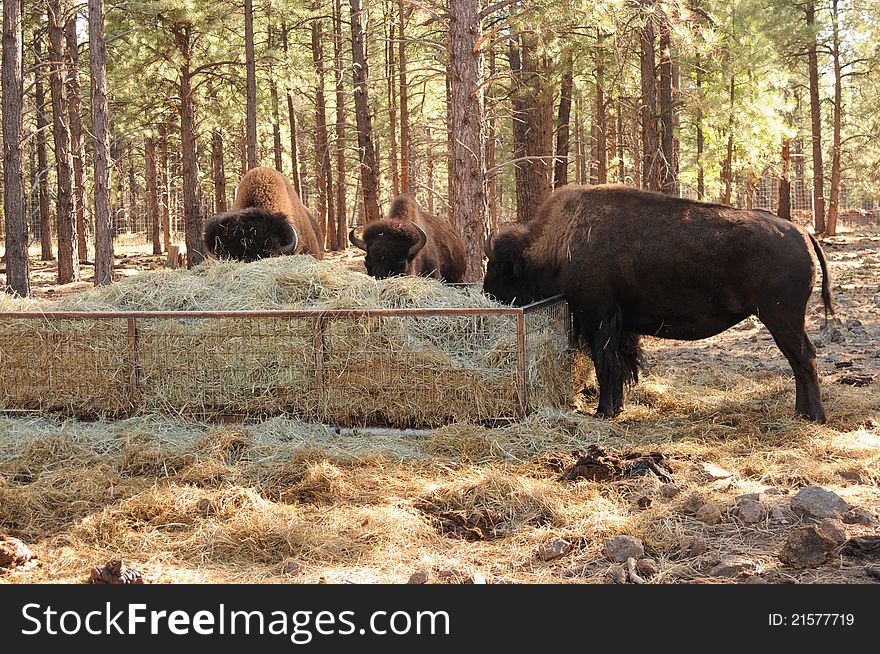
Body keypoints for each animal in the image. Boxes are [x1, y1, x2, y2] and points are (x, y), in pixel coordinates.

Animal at [482, 184, 832, 426]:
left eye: (500, 269)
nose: (488, 294)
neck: (560, 241)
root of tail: (801, 233)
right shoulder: (620, 324)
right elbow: (620, 364)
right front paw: (616, 408)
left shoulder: (598, 317)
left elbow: (605, 363)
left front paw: (603, 411)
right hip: (782, 319)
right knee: (799, 360)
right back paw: (802, 412)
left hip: (781, 317)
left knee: (804, 357)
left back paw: (813, 415)